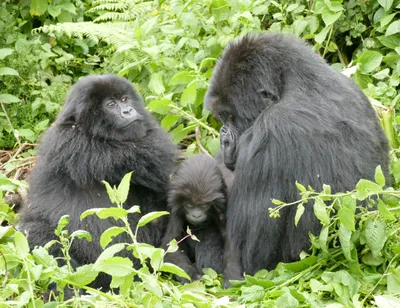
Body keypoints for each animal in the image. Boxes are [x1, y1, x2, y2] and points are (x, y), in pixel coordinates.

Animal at [161, 154, 233, 282]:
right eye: (189, 205)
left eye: (203, 206)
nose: (196, 215)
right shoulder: (174, 206)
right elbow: (170, 244)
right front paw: (191, 275)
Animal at [205, 33, 392, 284]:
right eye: (222, 118)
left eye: (231, 117)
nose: (224, 139)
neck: (296, 80)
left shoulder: (270, 132)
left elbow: (246, 262)